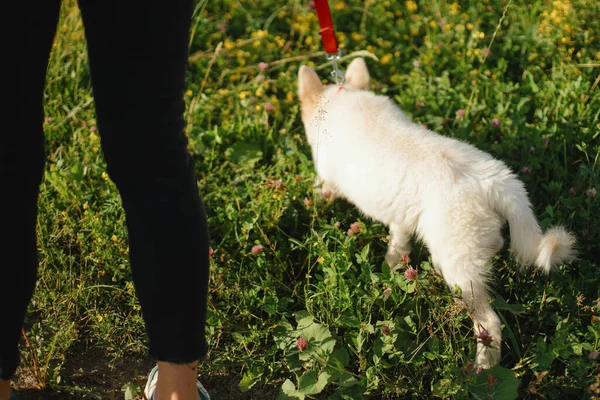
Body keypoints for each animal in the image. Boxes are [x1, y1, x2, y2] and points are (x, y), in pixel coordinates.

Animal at [298, 57, 576, 368]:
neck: (343, 99)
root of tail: (496, 181)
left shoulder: (327, 181)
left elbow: (319, 193)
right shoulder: (401, 217)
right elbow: (398, 247)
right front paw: (391, 271)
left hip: (457, 269)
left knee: (489, 323)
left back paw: (481, 369)